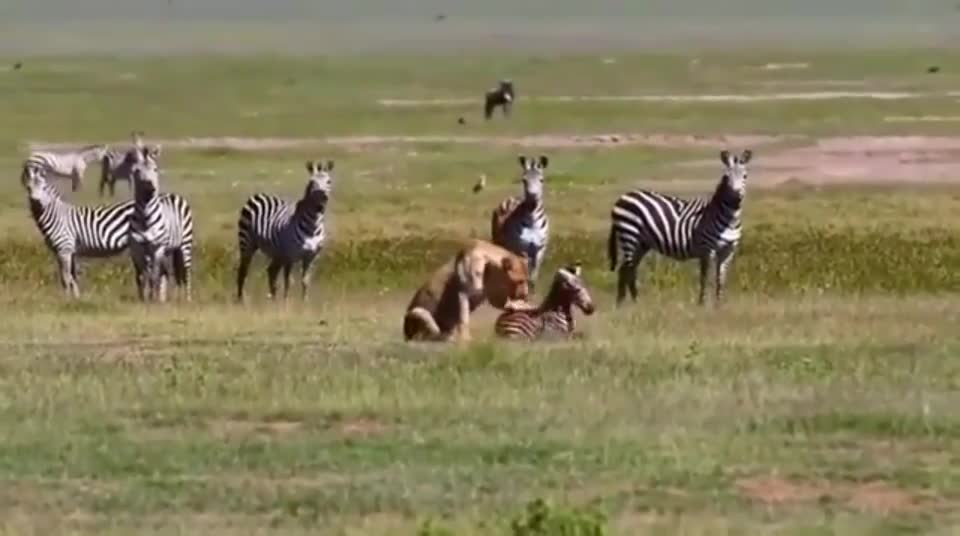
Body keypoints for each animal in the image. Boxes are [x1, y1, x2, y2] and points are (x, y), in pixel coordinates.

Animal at [20, 162, 134, 298]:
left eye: (44, 188)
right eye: (28, 188)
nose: (36, 202)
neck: (56, 216)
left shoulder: (65, 250)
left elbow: (66, 278)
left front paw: (66, 299)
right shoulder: (68, 252)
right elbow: (72, 278)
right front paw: (75, 298)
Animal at [128, 147, 194, 304]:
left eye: (155, 169)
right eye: (137, 171)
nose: (150, 189)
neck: (145, 218)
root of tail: (172, 194)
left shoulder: (157, 248)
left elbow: (154, 275)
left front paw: (152, 298)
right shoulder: (136, 250)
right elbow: (141, 276)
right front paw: (143, 299)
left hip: (185, 245)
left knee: (186, 272)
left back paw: (187, 299)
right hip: (169, 250)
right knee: (167, 273)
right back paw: (165, 298)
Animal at [235, 158, 334, 302]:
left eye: (329, 181)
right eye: (312, 182)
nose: (322, 203)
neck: (313, 225)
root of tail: (258, 194)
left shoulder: (311, 256)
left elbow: (305, 281)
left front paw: (304, 302)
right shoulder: (290, 256)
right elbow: (288, 281)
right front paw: (286, 302)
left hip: (277, 253)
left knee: (271, 271)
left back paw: (273, 299)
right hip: (247, 243)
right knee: (243, 271)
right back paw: (241, 299)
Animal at [492, 155, 552, 294]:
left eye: (542, 180)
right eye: (524, 180)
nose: (532, 197)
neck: (533, 221)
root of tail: (512, 198)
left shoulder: (539, 249)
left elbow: (533, 276)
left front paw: (532, 291)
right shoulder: (522, 248)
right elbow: (525, 272)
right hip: (501, 242)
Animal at [612, 149, 752, 306]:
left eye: (745, 176)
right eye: (726, 177)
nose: (736, 198)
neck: (730, 220)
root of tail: (623, 197)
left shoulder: (728, 250)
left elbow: (720, 279)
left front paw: (718, 305)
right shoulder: (707, 249)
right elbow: (705, 278)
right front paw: (702, 303)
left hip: (641, 243)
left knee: (625, 269)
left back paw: (624, 303)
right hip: (629, 234)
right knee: (629, 269)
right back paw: (633, 302)